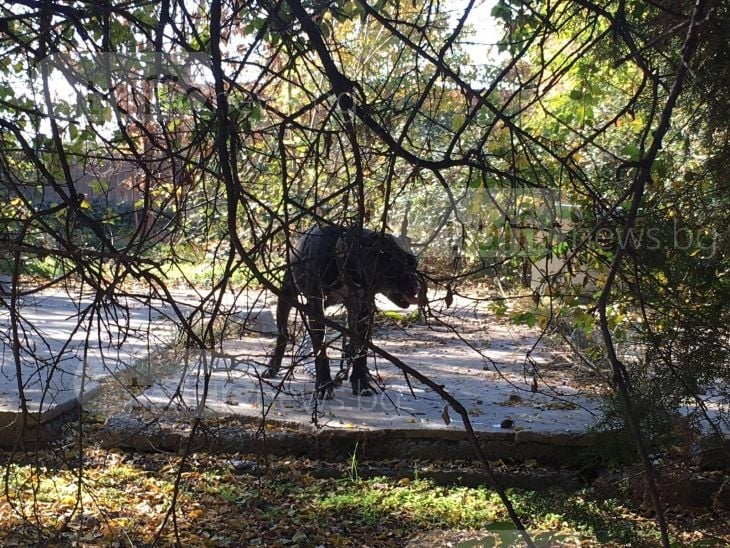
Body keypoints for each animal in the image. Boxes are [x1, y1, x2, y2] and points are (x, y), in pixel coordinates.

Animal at [264, 226, 418, 398]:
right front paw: (323, 385)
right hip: (286, 295)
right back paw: (273, 366)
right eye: (395, 265)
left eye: (414, 264)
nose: (416, 285)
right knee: (283, 333)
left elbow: (361, 349)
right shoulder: (316, 307)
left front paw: (361, 382)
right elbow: (320, 348)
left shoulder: (363, 309)